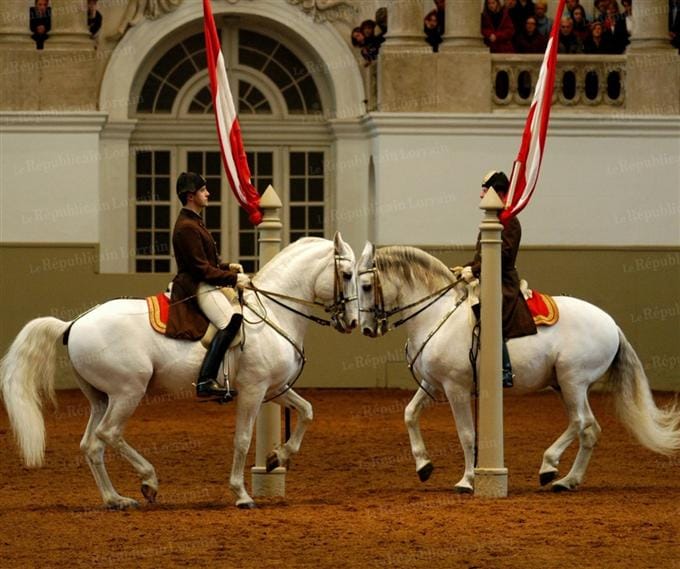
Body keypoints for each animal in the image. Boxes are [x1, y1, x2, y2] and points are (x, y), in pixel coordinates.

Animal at [1, 233, 357, 509]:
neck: (271, 313)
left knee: (92, 445)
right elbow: (243, 439)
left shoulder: (273, 389)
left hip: (101, 398)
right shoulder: (254, 390)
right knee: (109, 434)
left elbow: (307, 411)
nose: (352, 322)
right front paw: (242, 494)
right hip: (127, 391)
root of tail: (74, 323)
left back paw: (116, 500)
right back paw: (149, 481)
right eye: (348, 275)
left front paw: (277, 457)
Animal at [356, 243, 680, 493]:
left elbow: (467, 434)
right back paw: (567, 481)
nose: (366, 328)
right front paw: (424, 466)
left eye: (366, 286)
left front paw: (467, 480)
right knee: (589, 429)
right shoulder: (433, 384)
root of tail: (612, 324)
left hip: (572, 380)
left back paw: (549, 466)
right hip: (565, 386)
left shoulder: (455, 388)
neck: (438, 314)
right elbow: (409, 414)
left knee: (579, 422)